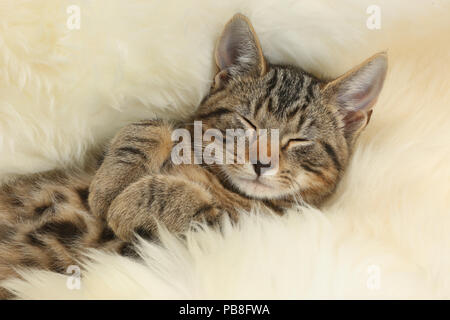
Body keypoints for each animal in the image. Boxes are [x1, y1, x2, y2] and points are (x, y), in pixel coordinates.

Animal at [0, 12, 386, 298]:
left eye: (299, 140)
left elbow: (207, 209)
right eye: (247, 122)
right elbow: (153, 125)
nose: (261, 163)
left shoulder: (239, 230)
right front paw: (112, 185)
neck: (216, 178)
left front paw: (131, 201)